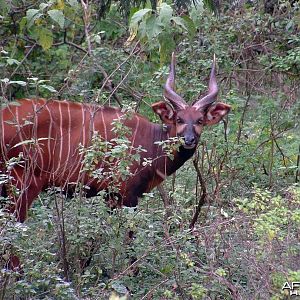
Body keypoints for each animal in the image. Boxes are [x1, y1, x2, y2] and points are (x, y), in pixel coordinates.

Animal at [0, 54, 231, 224]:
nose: (189, 139)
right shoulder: (125, 195)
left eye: (200, 120)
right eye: (179, 119)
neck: (153, 142)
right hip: (22, 183)